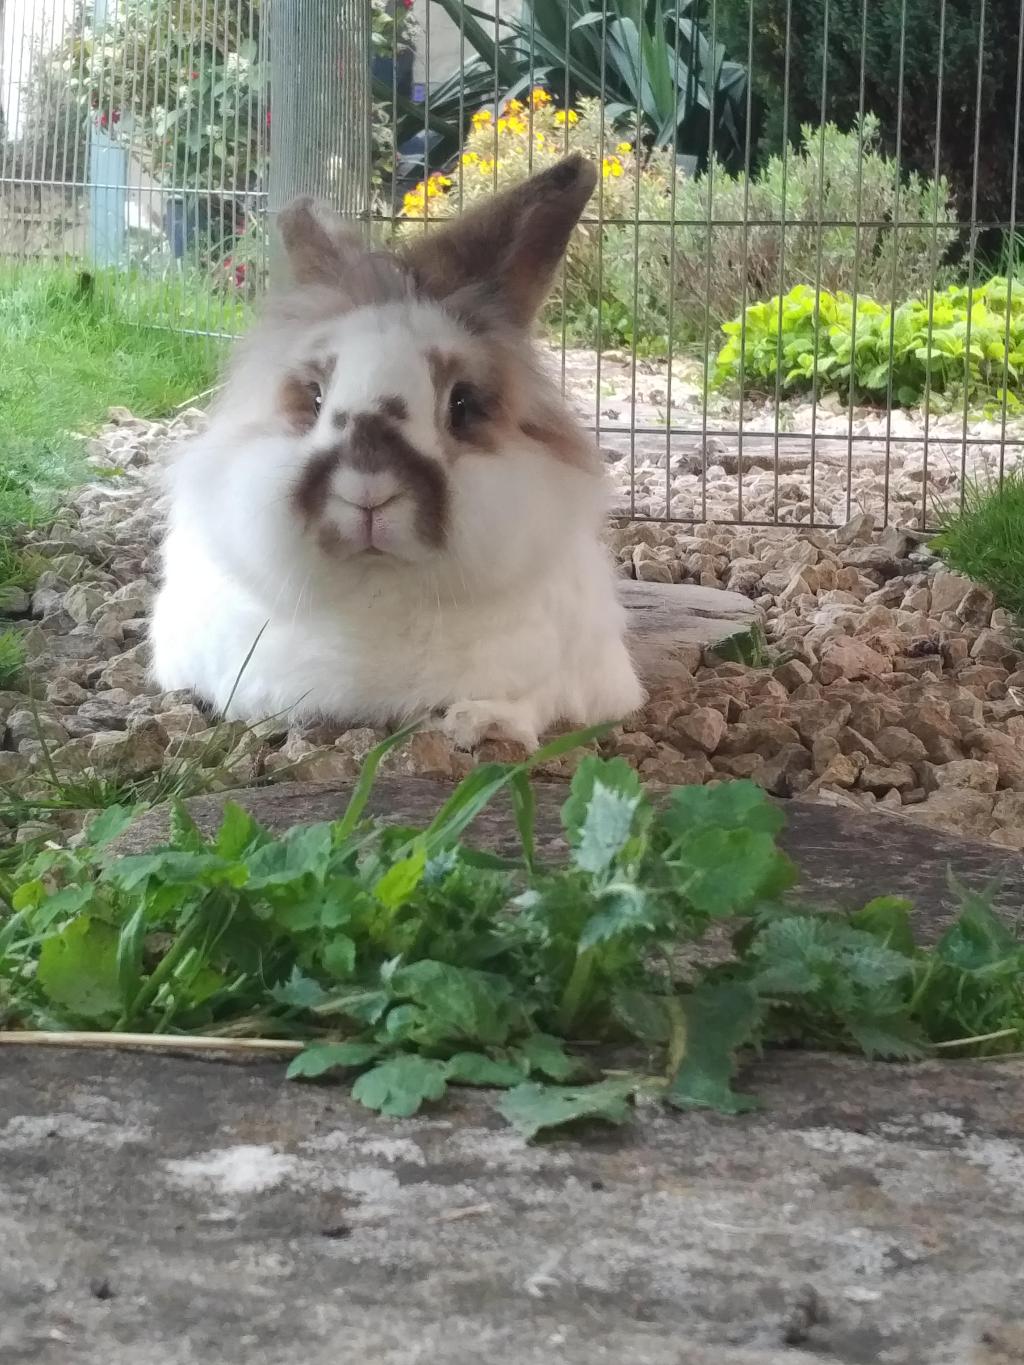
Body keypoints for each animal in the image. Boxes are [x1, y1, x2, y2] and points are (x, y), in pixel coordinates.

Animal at [150, 154, 645, 751]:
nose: (368, 492)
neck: (378, 588)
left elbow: (529, 704)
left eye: (462, 405)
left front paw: (478, 723)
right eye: (314, 398)